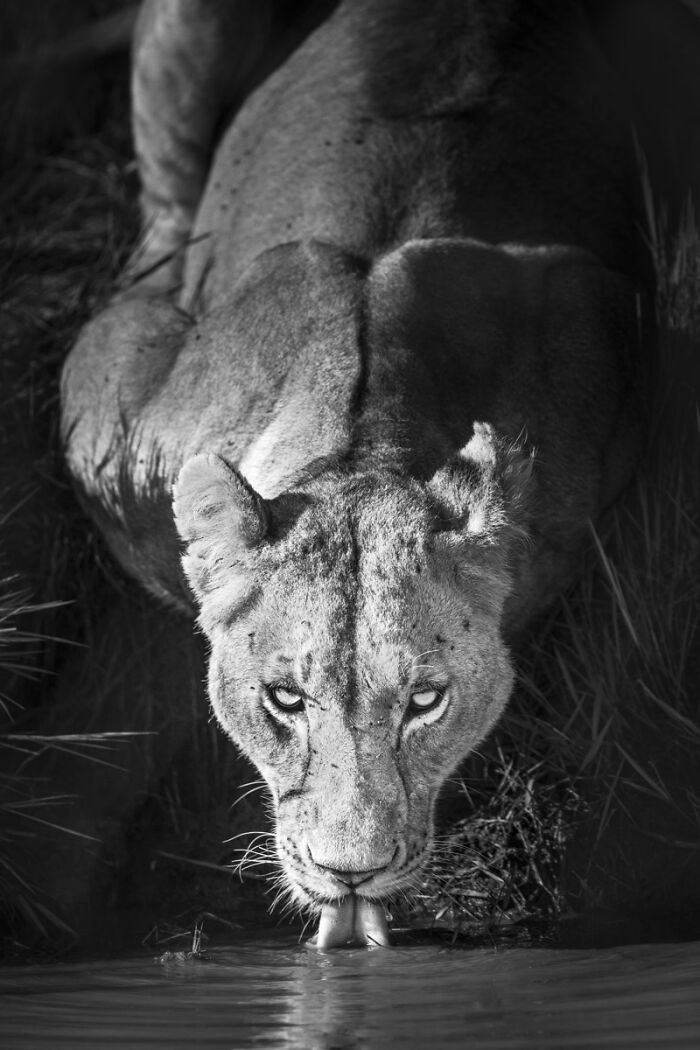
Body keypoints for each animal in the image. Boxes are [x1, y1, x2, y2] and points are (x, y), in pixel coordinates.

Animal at [61, 0, 661, 946]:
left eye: (425, 701)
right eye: (283, 699)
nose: (351, 874)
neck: (363, 437)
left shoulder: (601, 333)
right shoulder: (107, 389)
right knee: (164, 198)